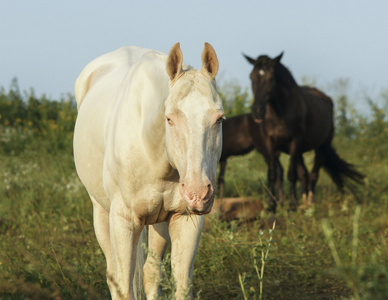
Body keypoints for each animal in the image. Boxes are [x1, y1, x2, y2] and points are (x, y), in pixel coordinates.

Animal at [74, 42, 223, 300]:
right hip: (101, 213)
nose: (197, 194)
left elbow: (178, 286)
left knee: (151, 273)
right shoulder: (123, 221)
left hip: (158, 222)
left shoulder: (186, 220)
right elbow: (123, 286)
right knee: (113, 275)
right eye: (170, 118)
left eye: (219, 119)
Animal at [244, 53, 366, 213]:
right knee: (304, 174)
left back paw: (310, 202)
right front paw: (271, 205)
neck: (280, 113)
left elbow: (291, 175)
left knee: (313, 174)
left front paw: (292, 205)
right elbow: (273, 174)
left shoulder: (294, 142)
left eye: (271, 78)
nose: (257, 111)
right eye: (251, 77)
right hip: (300, 152)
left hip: (321, 147)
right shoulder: (270, 144)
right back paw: (304, 202)